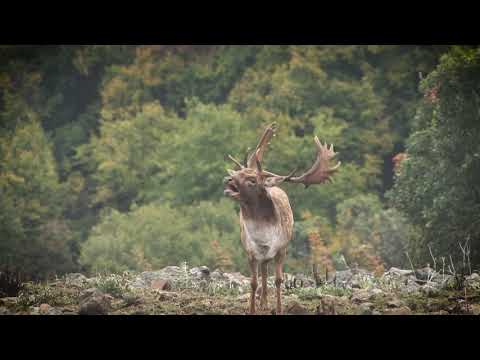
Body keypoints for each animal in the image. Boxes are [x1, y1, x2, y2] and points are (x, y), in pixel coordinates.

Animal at [224, 122, 342, 314]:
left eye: (252, 180)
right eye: (238, 173)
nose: (228, 179)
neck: (263, 238)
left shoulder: (282, 249)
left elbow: (279, 280)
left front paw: (279, 309)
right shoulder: (250, 251)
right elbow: (253, 282)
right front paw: (252, 309)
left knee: (266, 270)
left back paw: (265, 303)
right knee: (264, 270)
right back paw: (263, 303)